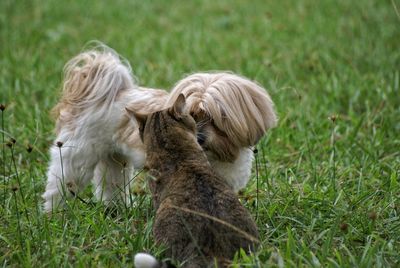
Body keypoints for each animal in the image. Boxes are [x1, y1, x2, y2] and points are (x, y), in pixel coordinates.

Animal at [43, 46, 276, 214]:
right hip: (77, 156)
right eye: (191, 115)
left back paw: (117, 209)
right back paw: (54, 214)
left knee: (110, 183)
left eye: (215, 118)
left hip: (114, 159)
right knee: (60, 184)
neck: (219, 155)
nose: (200, 138)